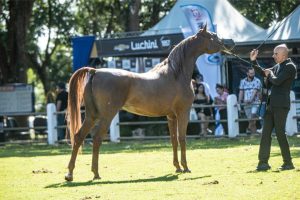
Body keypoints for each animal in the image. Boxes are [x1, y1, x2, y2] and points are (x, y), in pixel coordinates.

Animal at [65, 25, 225, 181]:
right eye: (213, 36)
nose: (227, 45)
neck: (175, 74)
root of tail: (95, 72)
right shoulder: (183, 113)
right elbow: (182, 138)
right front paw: (185, 167)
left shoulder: (171, 116)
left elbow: (173, 140)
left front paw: (177, 167)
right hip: (106, 116)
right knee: (97, 138)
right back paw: (96, 173)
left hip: (91, 116)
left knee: (78, 137)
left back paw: (70, 174)